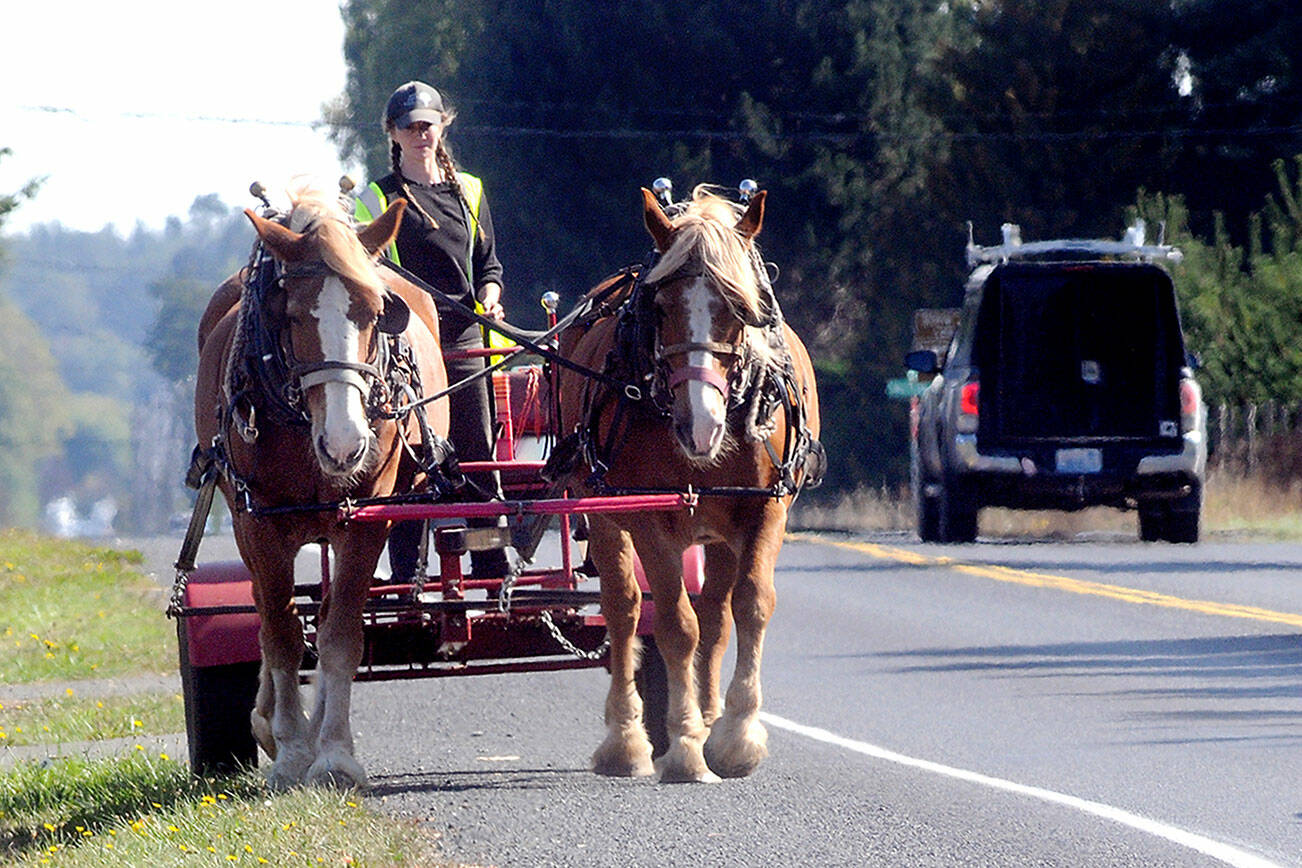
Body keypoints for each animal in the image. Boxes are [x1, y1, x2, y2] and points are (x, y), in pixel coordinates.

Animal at [193, 186, 449, 789]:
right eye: (288, 314)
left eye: (377, 312)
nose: (345, 442)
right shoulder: (258, 523)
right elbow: (282, 634)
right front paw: (290, 752)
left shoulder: (367, 519)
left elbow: (339, 637)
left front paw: (333, 753)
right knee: (266, 612)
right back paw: (271, 722)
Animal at [557, 186, 822, 782]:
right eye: (660, 309)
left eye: (742, 309)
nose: (700, 424)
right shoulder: (649, 518)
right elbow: (676, 626)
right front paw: (682, 745)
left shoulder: (766, 508)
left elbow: (750, 605)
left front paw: (735, 735)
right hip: (602, 511)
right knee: (625, 609)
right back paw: (627, 739)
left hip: (719, 531)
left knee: (717, 617)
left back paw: (708, 716)